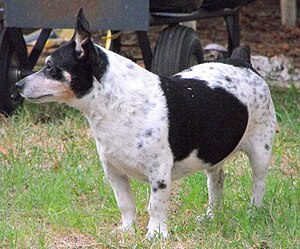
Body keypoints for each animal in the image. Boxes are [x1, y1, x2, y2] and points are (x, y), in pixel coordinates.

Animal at [15, 9, 276, 239]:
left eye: (50, 67)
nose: (18, 85)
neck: (117, 103)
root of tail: (241, 60)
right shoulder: (114, 173)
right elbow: (125, 203)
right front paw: (127, 230)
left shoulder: (159, 174)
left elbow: (155, 206)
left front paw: (156, 234)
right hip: (211, 154)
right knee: (217, 181)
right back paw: (211, 215)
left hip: (260, 152)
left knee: (259, 184)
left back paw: (253, 212)